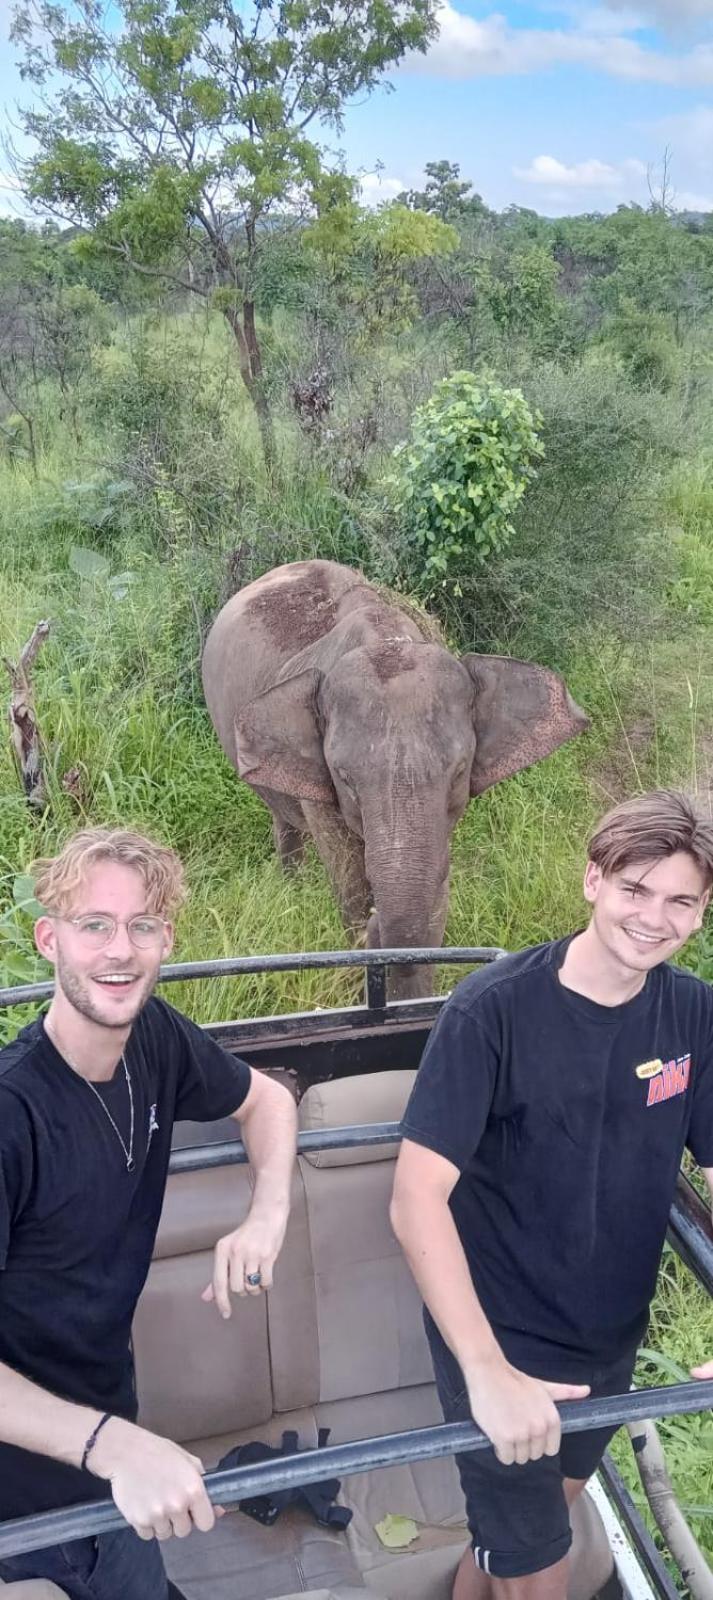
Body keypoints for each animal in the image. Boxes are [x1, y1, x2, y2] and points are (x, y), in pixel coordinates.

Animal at [202, 556, 591, 992]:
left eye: (459, 770)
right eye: (344, 778)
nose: (379, 923)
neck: (386, 638)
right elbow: (349, 882)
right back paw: (294, 892)